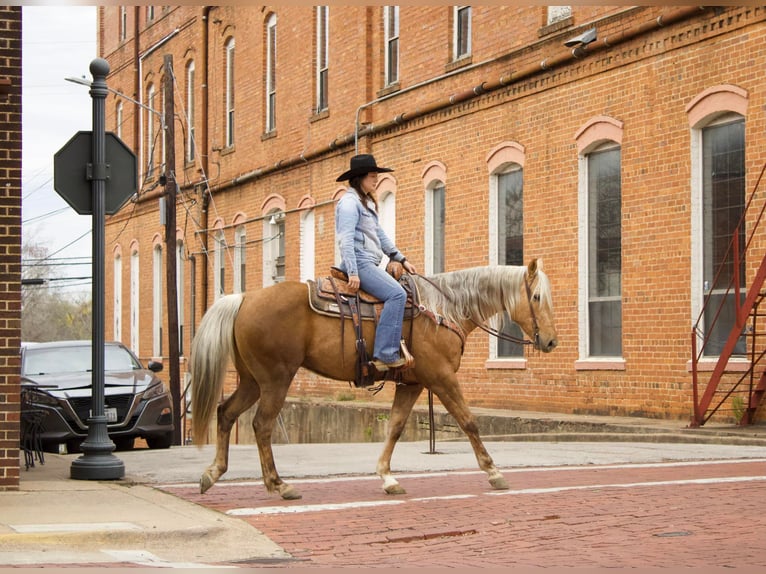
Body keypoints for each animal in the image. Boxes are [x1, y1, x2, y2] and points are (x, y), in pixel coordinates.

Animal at [192, 260, 560, 500]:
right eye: (537, 297)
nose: (551, 341)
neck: (443, 309)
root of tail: (243, 298)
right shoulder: (441, 379)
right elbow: (469, 422)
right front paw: (494, 472)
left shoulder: (412, 384)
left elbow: (395, 427)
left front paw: (387, 478)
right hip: (275, 380)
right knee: (261, 426)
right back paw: (278, 484)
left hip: (251, 381)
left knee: (225, 413)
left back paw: (212, 474)